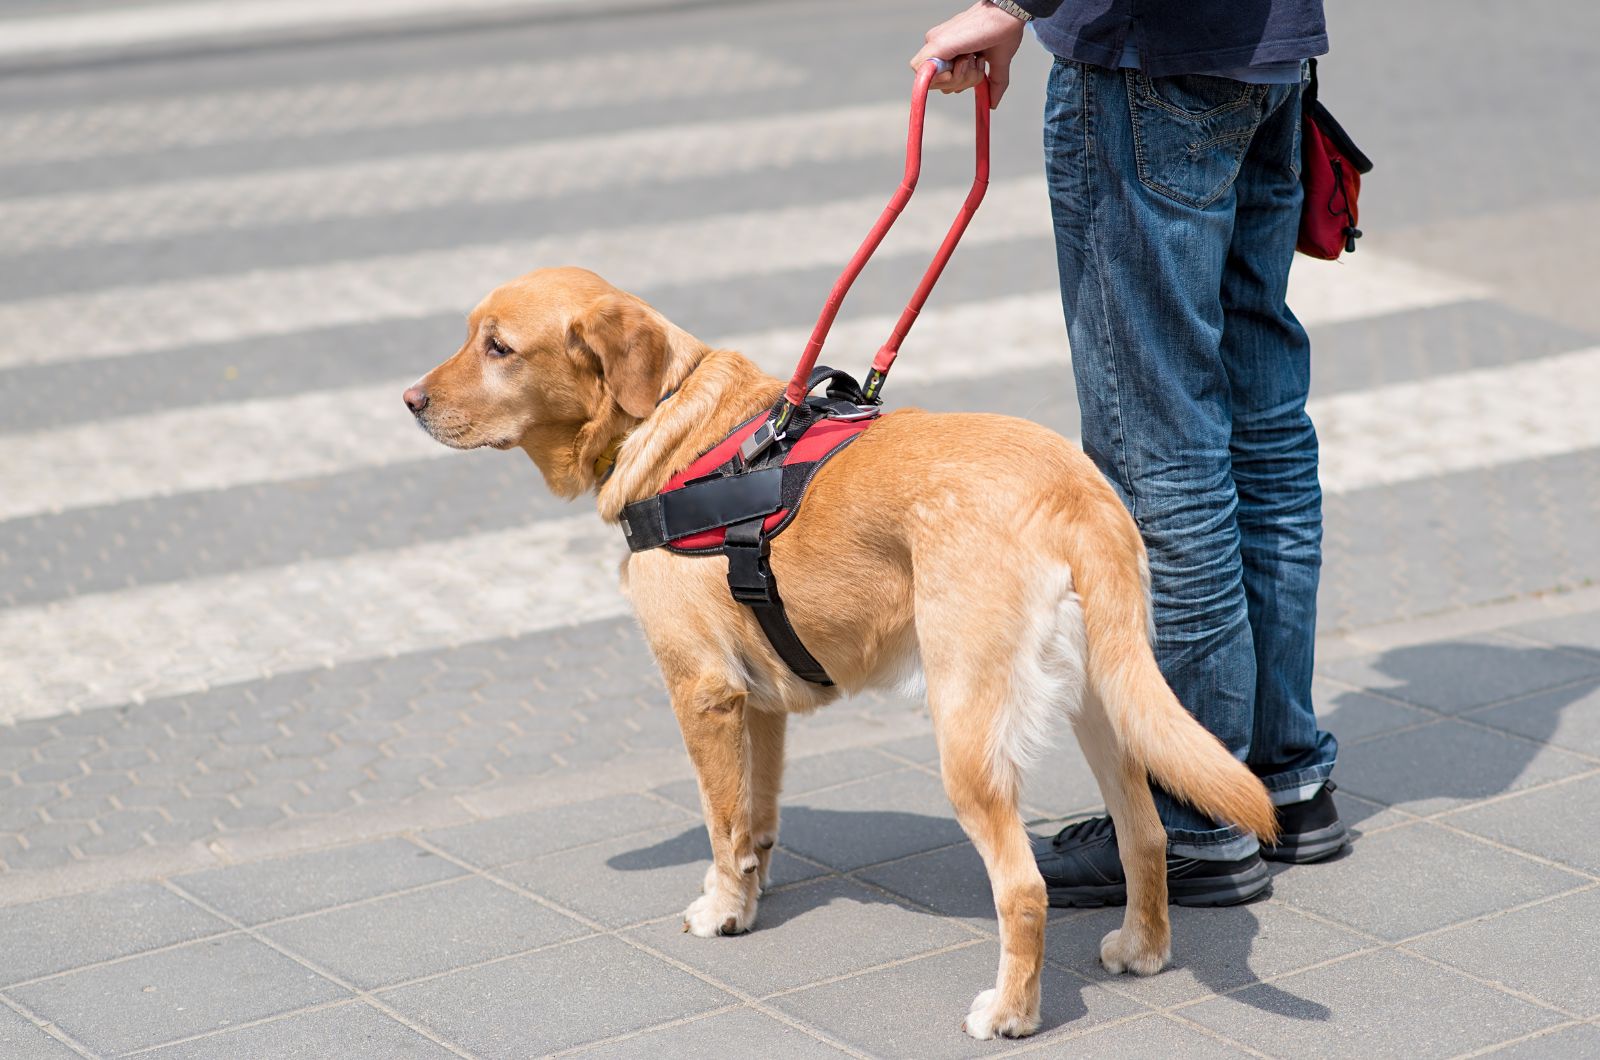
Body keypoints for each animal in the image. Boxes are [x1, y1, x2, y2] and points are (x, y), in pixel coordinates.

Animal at [403, 267, 1273, 1043]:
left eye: (499, 347)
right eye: (473, 334)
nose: (408, 401)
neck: (672, 420)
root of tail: (1073, 491)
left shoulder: (702, 691)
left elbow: (720, 824)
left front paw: (723, 910)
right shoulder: (757, 704)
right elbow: (753, 822)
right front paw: (748, 898)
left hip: (968, 731)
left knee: (1023, 888)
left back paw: (1009, 1013)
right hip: (1108, 705)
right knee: (1147, 834)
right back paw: (1144, 948)